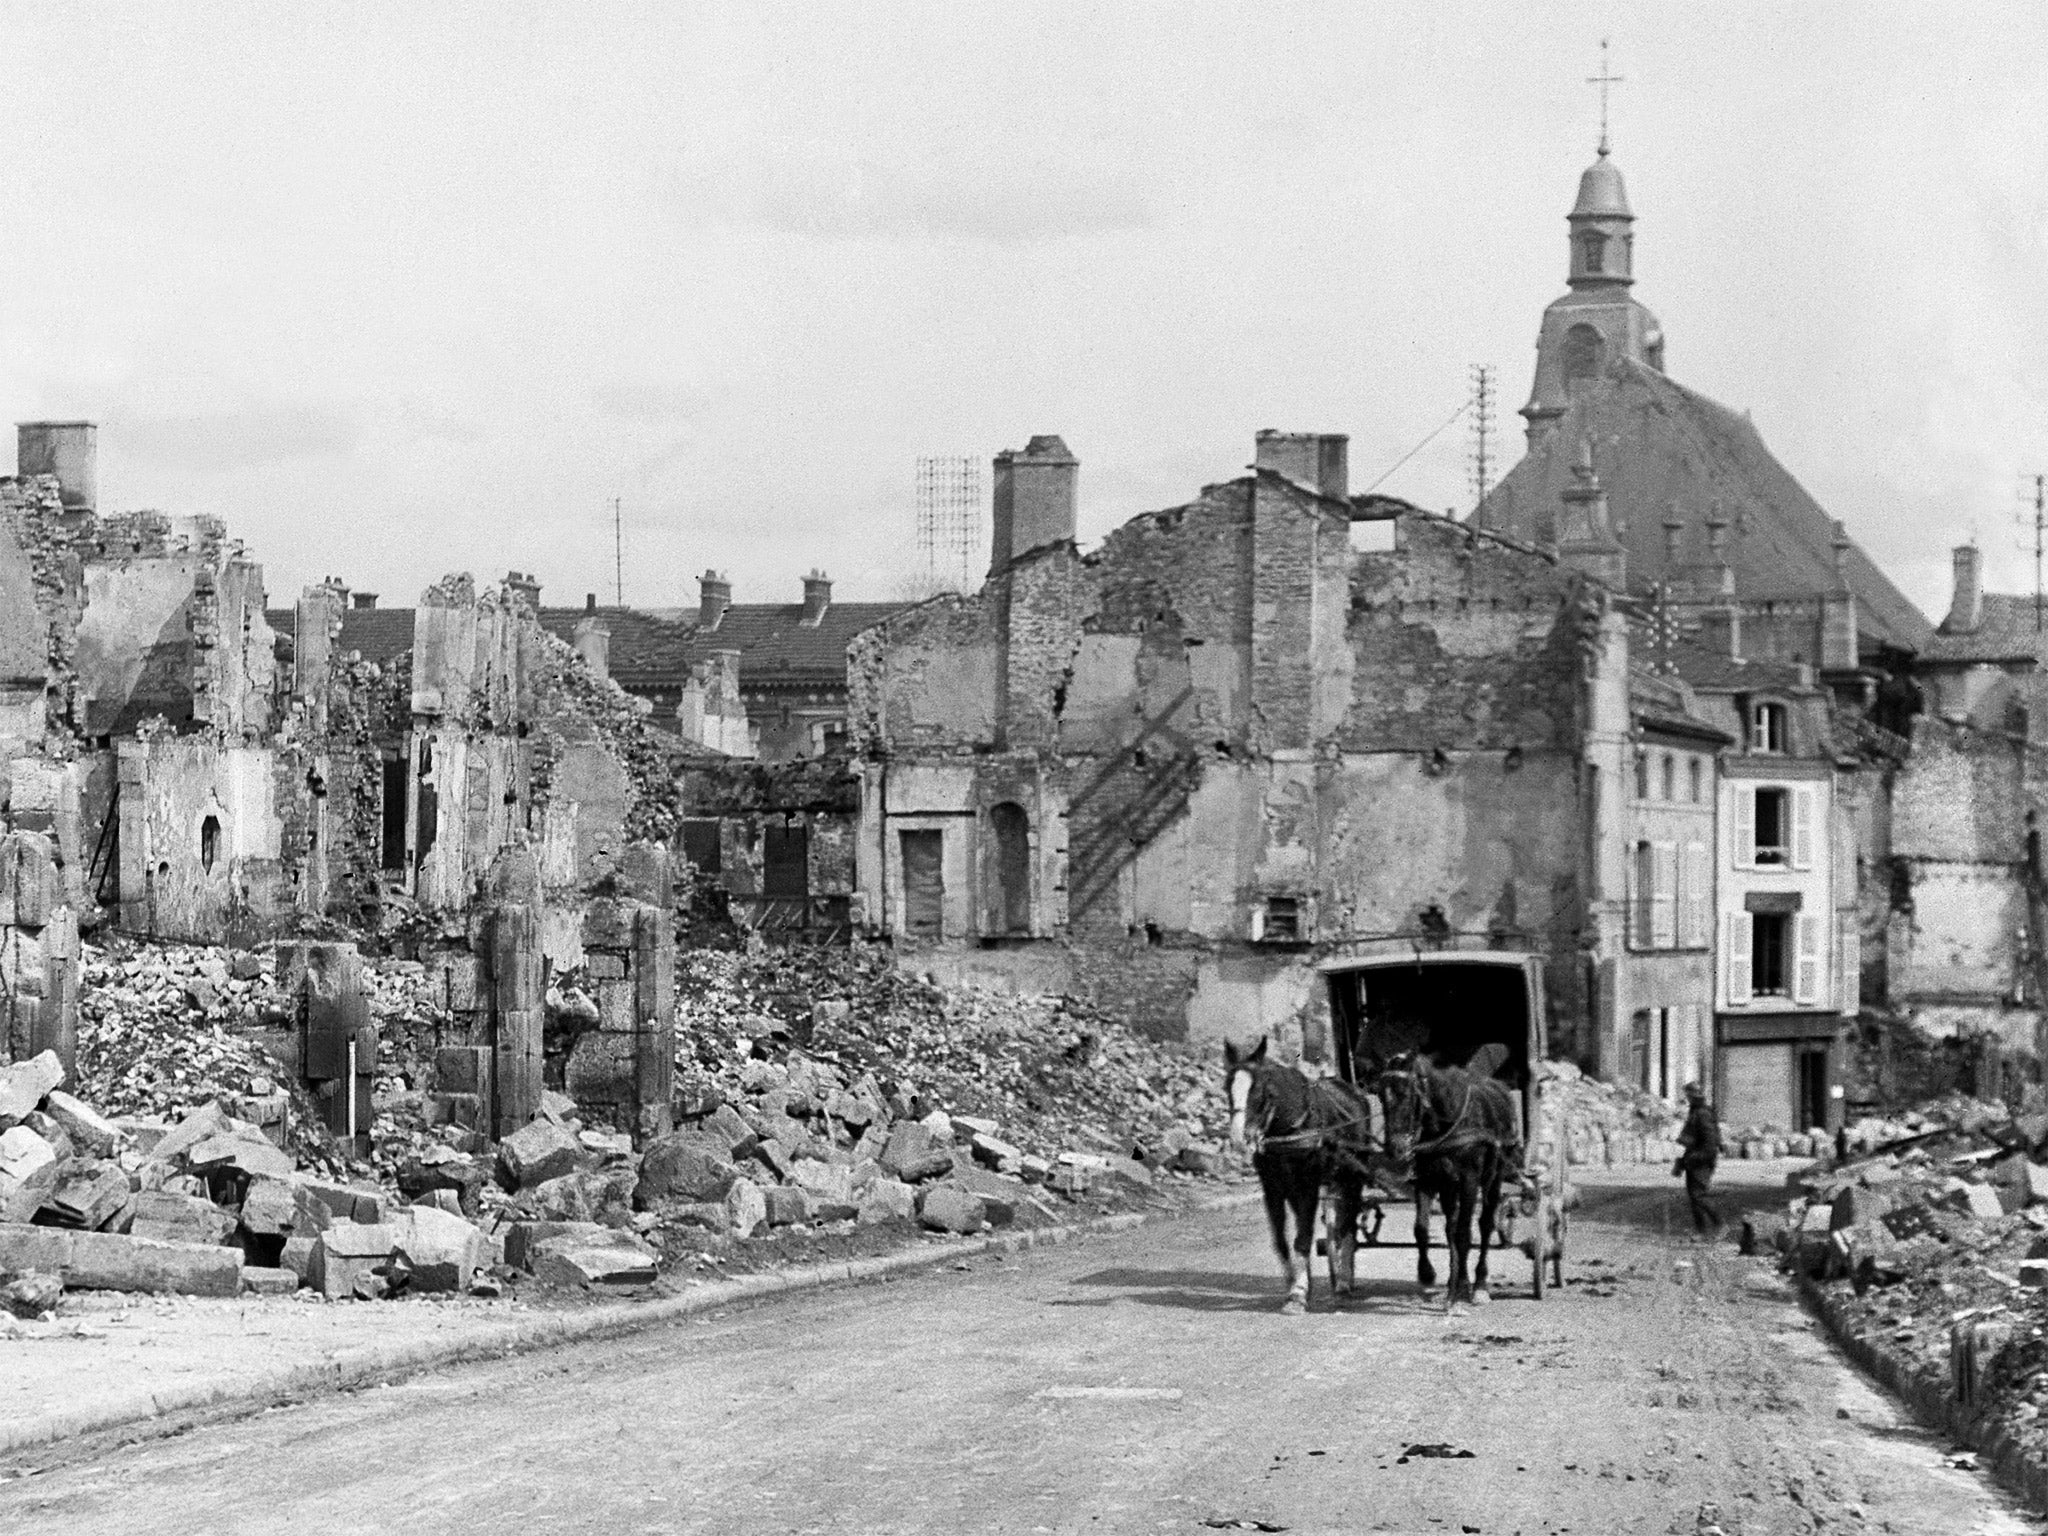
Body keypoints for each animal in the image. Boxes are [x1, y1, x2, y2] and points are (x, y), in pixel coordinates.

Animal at [1220, 1040, 1384, 1318]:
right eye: (1227, 1087)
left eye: (1261, 1091)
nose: (1240, 1140)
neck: (1289, 1126)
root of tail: (1354, 1092)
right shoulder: (1273, 1186)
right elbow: (1283, 1240)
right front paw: (1295, 1282)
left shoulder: (1308, 1184)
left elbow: (1304, 1237)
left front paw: (1297, 1294)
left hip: (1350, 1178)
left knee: (1347, 1227)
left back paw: (1342, 1282)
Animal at [1376, 1048, 1523, 1310]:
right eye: (1380, 1095)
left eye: (1406, 1093)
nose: (1395, 1148)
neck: (1446, 1124)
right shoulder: (1429, 1179)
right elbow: (1423, 1229)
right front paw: (1427, 1274)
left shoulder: (1469, 1180)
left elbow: (1464, 1234)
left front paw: (1465, 1289)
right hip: (1449, 1187)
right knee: (1451, 1227)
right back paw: (1457, 1281)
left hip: (1493, 1177)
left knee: (1485, 1224)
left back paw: (1479, 1284)